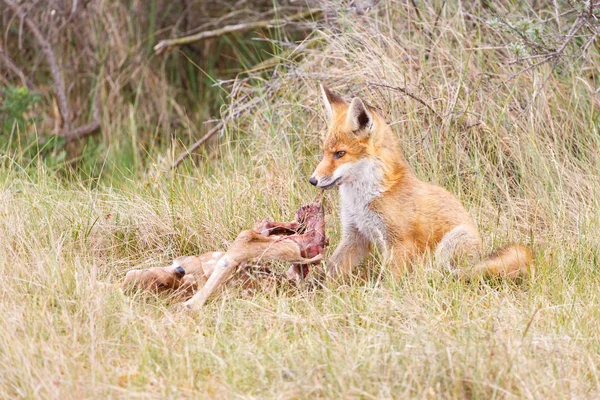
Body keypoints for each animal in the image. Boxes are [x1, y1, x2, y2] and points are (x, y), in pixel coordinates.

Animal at [312, 84, 532, 280]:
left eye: (340, 154)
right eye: (324, 152)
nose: (312, 180)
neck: (363, 198)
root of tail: (481, 255)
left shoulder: (399, 242)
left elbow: (390, 280)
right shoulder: (355, 235)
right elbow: (329, 271)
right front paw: (313, 288)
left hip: (452, 243)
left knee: (445, 273)